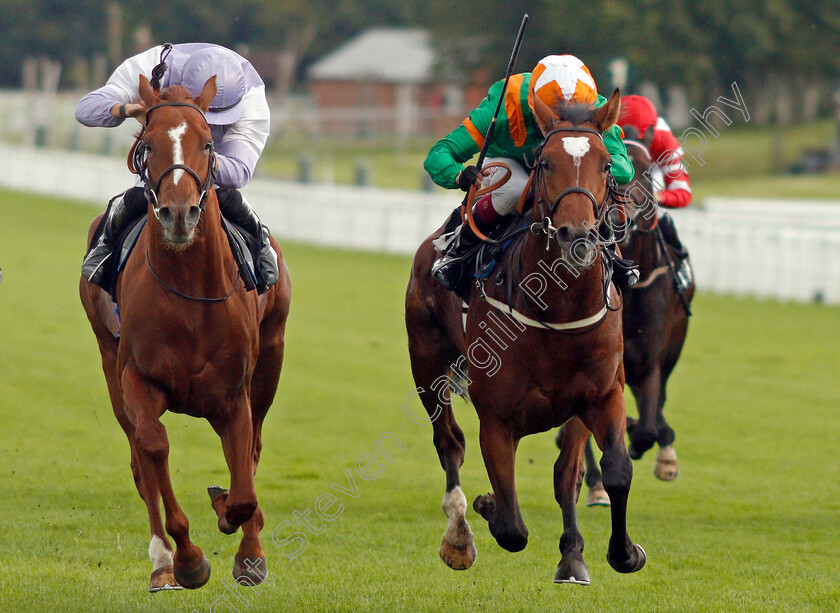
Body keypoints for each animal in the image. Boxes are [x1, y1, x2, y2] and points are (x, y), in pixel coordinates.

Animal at [81, 74, 292, 592]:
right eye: (148, 144)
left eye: (207, 143)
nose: (180, 214)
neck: (190, 297)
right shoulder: (136, 378)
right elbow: (153, 447)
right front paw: (189, 559)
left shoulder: (234, 394)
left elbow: (243, 486)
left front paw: (246, 549)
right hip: (108, 362)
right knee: (141, 459)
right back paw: (162, 563)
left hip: (271, 359)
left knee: (252, 450)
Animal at [410, 89, 648, 584]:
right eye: (544, 163)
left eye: (605, 164)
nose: (577, 235)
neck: (556, 309)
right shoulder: (497, 419)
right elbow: (511, 526)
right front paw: (485, 507)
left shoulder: (600, 394)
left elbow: (605, 471)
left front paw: (612, 553)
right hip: (425, 363)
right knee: (448, 442)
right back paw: (458, 533)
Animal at [572, 136, 696, 504]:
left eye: (644, 171)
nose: (617, 220)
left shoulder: (651, 361)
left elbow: (648, 427)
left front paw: (656, 447)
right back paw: (595, 484)